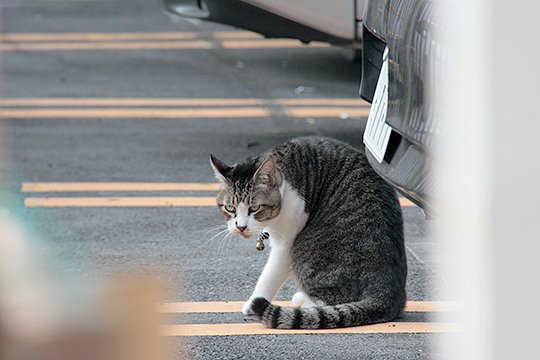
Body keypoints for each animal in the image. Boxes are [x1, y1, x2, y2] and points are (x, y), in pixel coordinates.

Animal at [209, 136, 408, 328]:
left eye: (255, 208)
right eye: (230, 208)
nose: (241, 227)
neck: (284, 180)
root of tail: (389, 295)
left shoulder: (286, 243)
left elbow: (269, 275)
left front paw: (251, 303)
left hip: (305, 248)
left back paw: (304, 302)